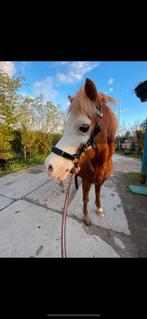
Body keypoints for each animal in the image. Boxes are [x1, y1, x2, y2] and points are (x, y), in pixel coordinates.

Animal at [45, 79, 117, 226]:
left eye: (84, 128)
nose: (49, 166)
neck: (101, 163)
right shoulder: (86, 182)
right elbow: (85, 199)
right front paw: (86, 217)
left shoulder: (100, 182)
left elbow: (98, 195)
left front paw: (99, 209)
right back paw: (63, 188)